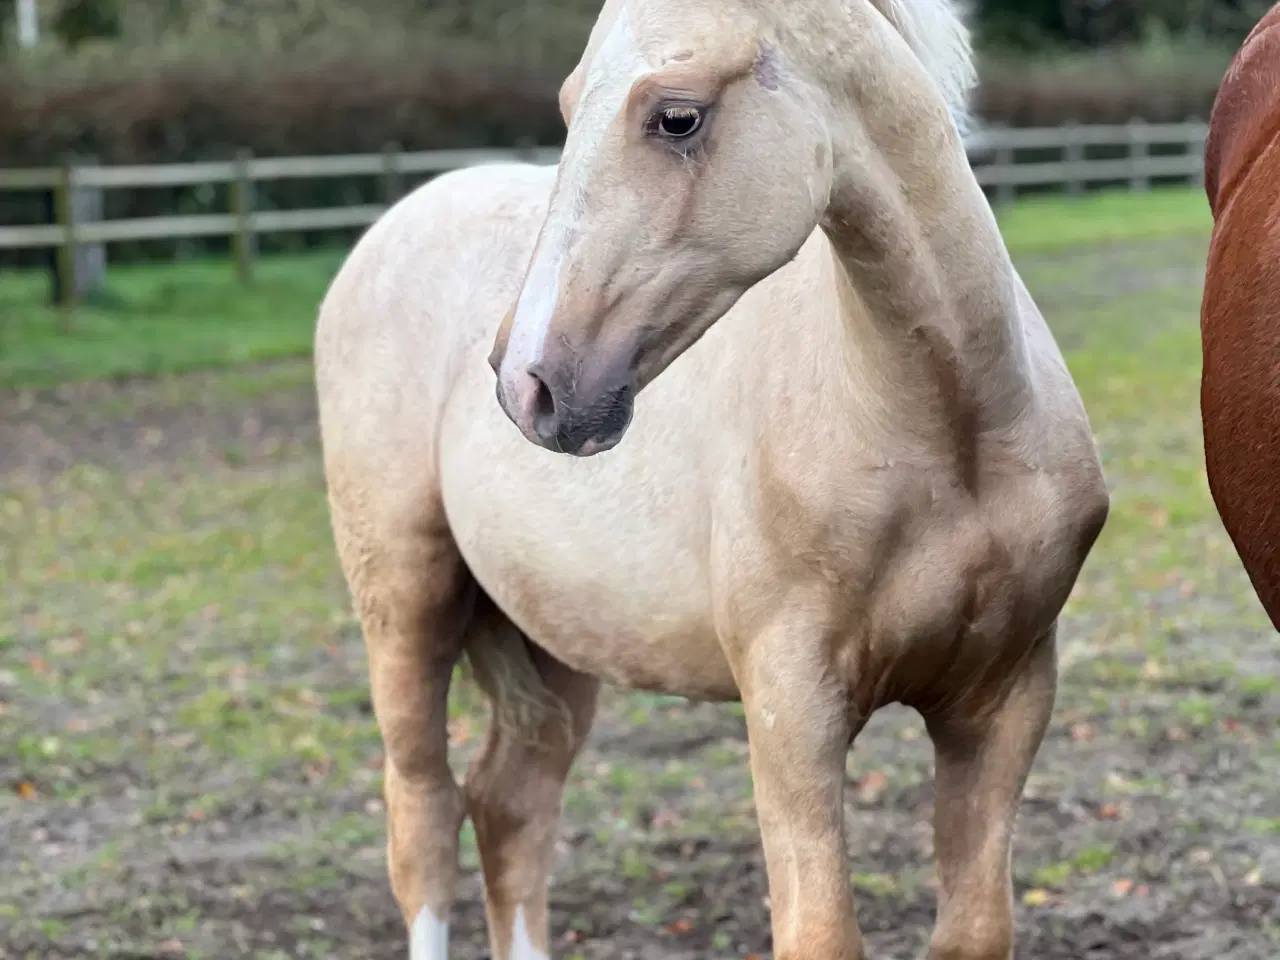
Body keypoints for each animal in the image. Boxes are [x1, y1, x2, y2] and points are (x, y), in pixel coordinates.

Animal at [312, 1, 1111, 960]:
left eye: (677, 117)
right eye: (570, 104)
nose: (526, 384)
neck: (955, 442)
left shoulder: (1003, 700)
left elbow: (975, 928)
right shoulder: (791, 712)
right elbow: (820, 932)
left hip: (554, 636)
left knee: (511, 807)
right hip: (406, 603)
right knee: (424, 818)